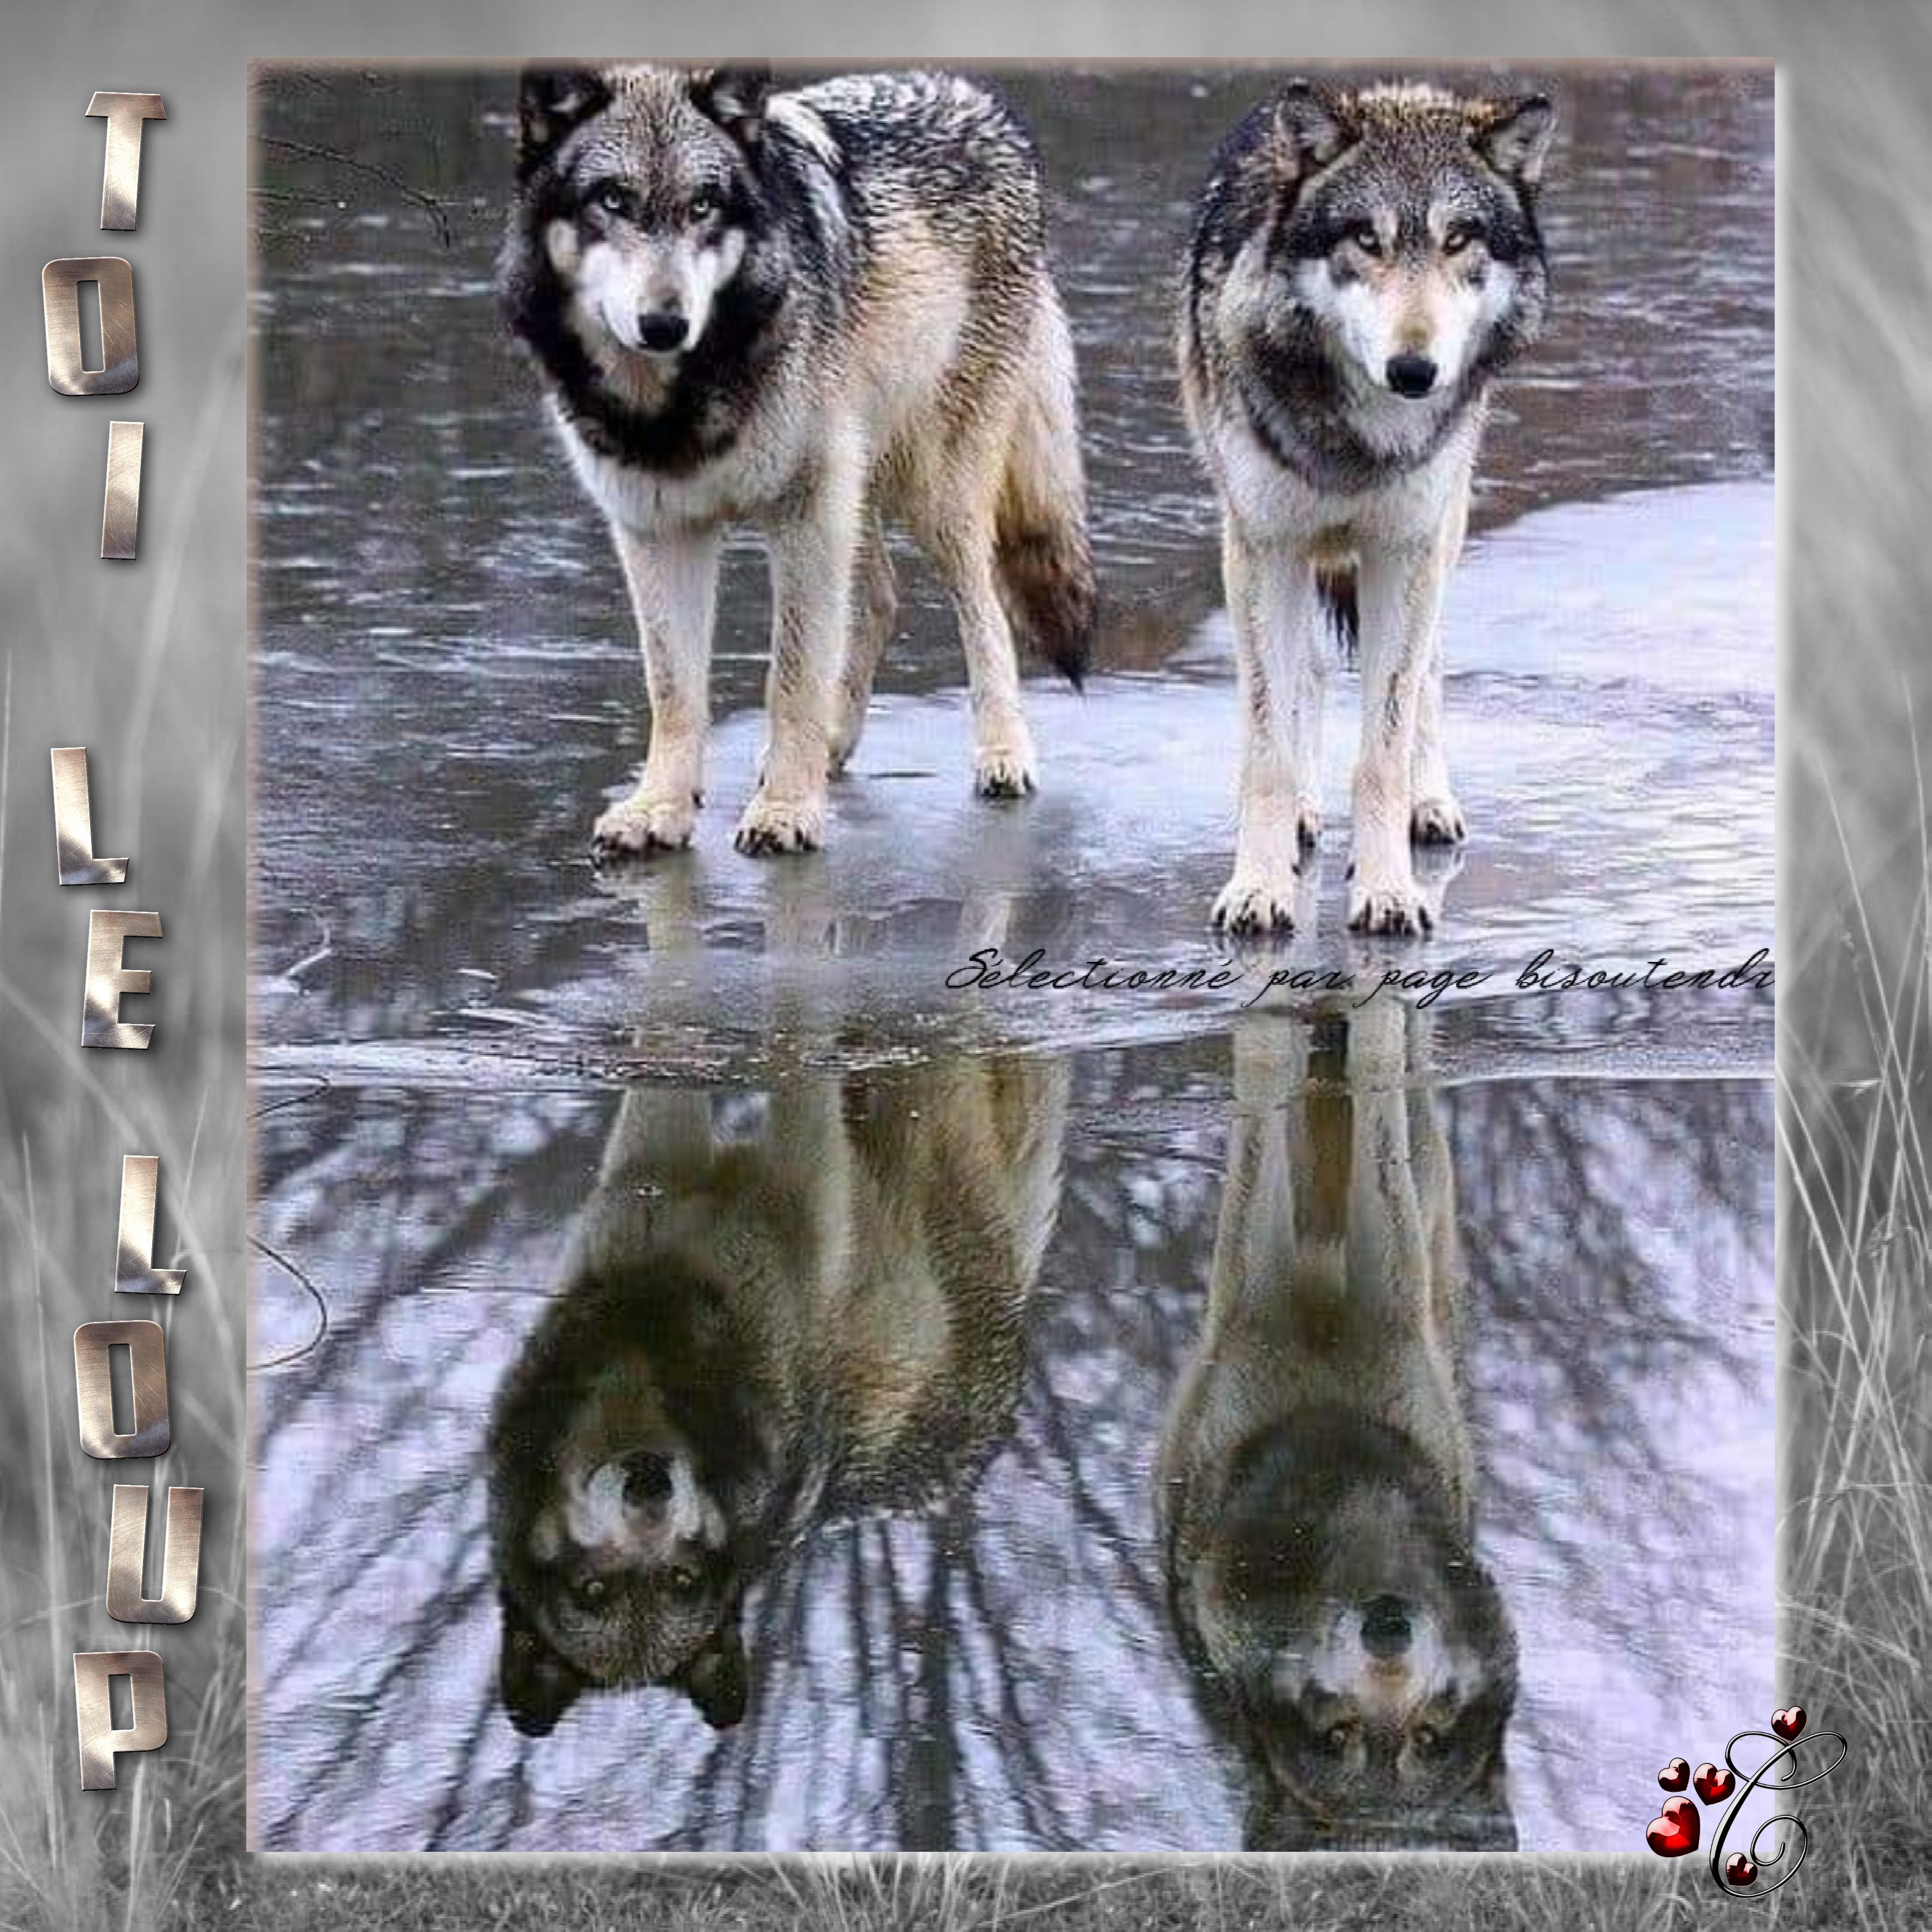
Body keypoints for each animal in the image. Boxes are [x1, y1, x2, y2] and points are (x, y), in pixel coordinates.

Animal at [498, 65, 1095, 862]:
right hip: (858, 481)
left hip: (932, 489)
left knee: (984, 604)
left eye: (702, 205)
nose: (665, 323)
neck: (676, 402)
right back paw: (835, 746)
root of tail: (978, 97)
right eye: (613, 200)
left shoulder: (804, 512)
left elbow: (789, 676)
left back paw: (1002, 755)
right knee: (878, 597)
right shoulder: (655, 528)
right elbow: (673, 688)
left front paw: (786, 810)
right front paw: (659, 808)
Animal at [1157, 1001, 1518, 1849]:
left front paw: (1373, 1013)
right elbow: (1265, 1064)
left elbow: (1376, 1083)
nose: (1387, 1627)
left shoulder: (1395, 1293)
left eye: (1428, 1732)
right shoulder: (1251, 1286)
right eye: (1339, 1733)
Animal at [1180, 79, 1555, 937]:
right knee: (1307, 674)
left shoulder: (1402, 550)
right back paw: (1303, 814)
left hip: (1442, 535)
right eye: (1365, 239)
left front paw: (1387, 890)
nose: (1414, 370)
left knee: (1428, 673)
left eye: (1458, 240)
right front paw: (1258, 886)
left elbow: (1384, 743)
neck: (1358, 435)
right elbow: (1267, 743)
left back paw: (1431, 802)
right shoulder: (1260, 545)